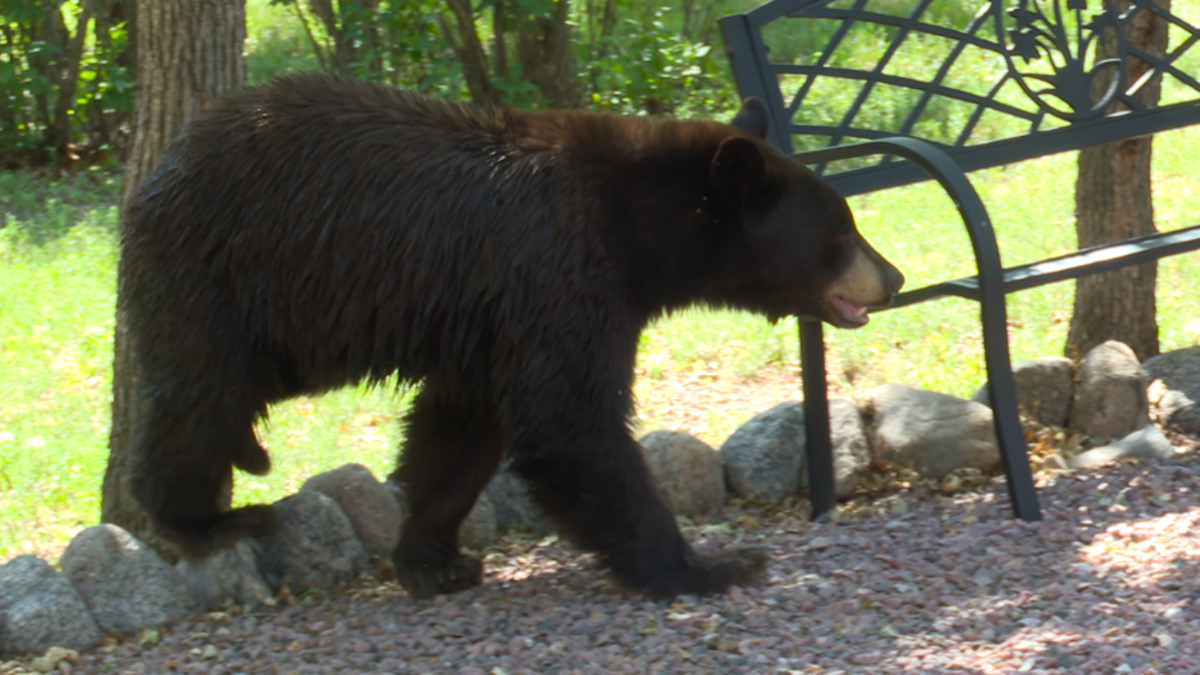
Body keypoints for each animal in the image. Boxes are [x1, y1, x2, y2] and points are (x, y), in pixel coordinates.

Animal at [121, 73, 902, 595]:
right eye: (842, 232)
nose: (892, 276)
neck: (638, 228)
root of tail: (162, 165)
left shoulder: (488, 321)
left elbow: (460, 430)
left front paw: (434, 559)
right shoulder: (559, 274)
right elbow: (572, 425)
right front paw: (708, 564)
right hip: (224, 276)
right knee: (199, 398)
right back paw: (203, 519)